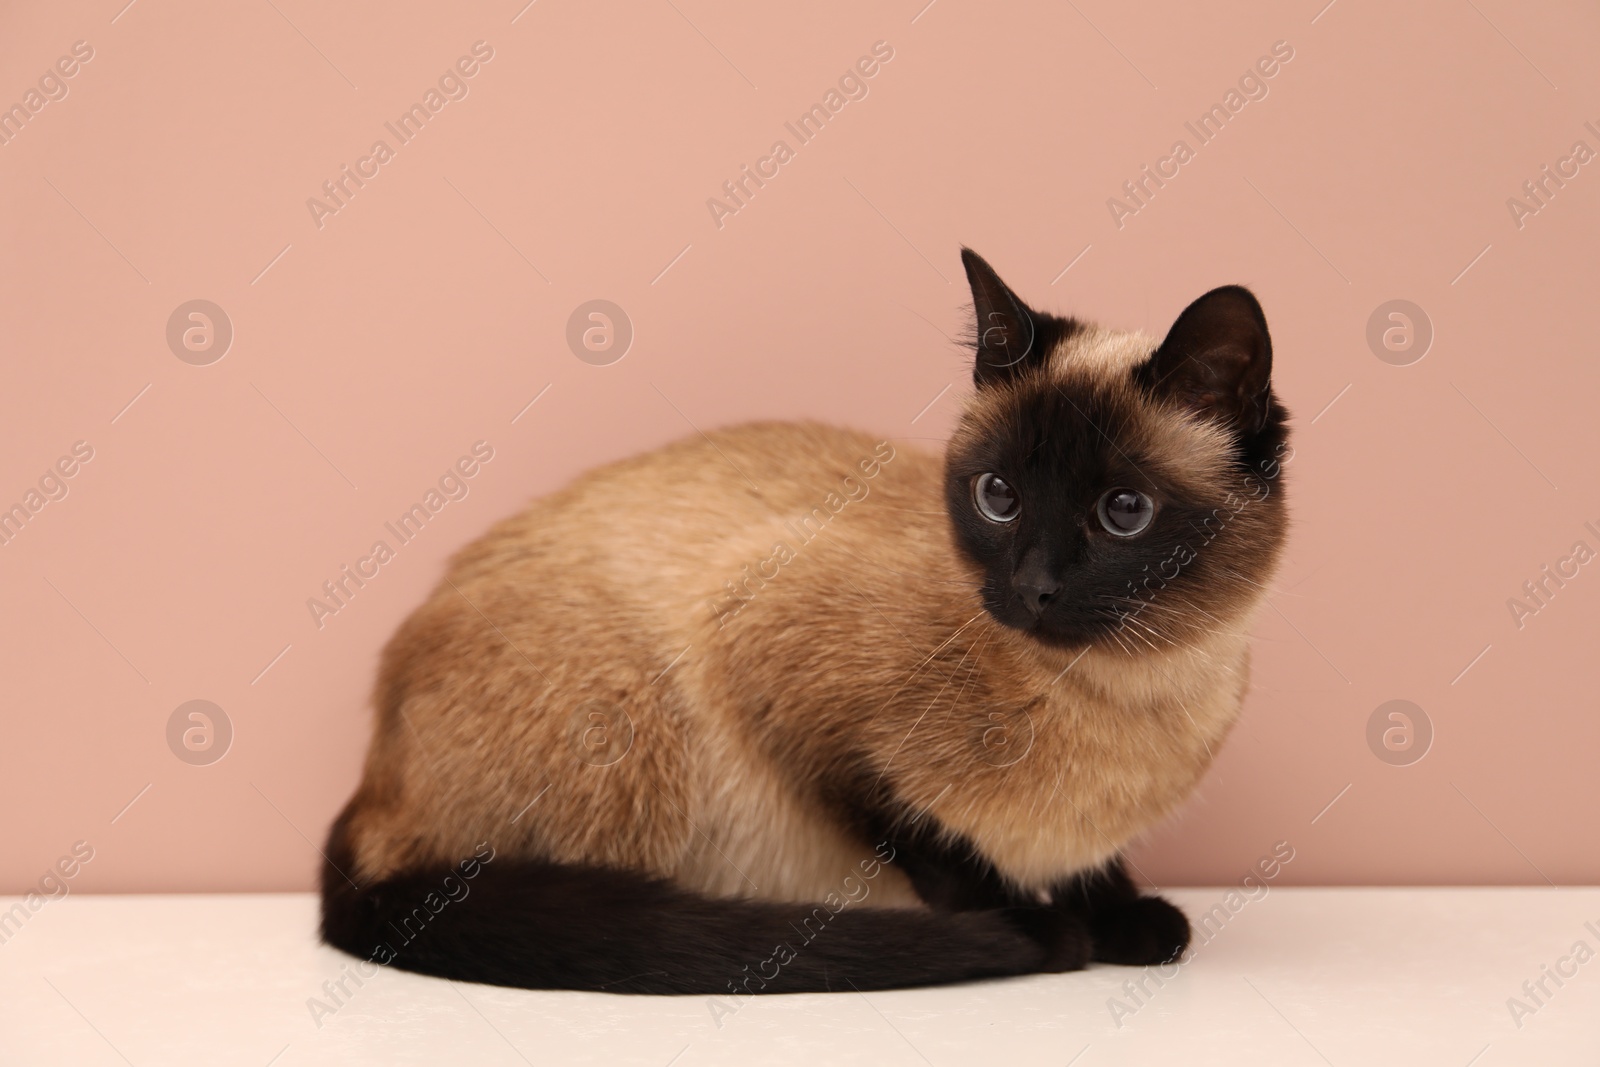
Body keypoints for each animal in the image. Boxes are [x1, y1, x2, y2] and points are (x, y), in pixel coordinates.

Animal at [321, 247, 1286, 991]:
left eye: (1125, 511)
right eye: (998, 496)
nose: (1034, 587)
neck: (1137, 696)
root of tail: (368, 783)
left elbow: (1091, 864)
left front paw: (1127, 920)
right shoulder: (774, 675)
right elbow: (932, 840)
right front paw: (1041, 930)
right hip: (634, 728)